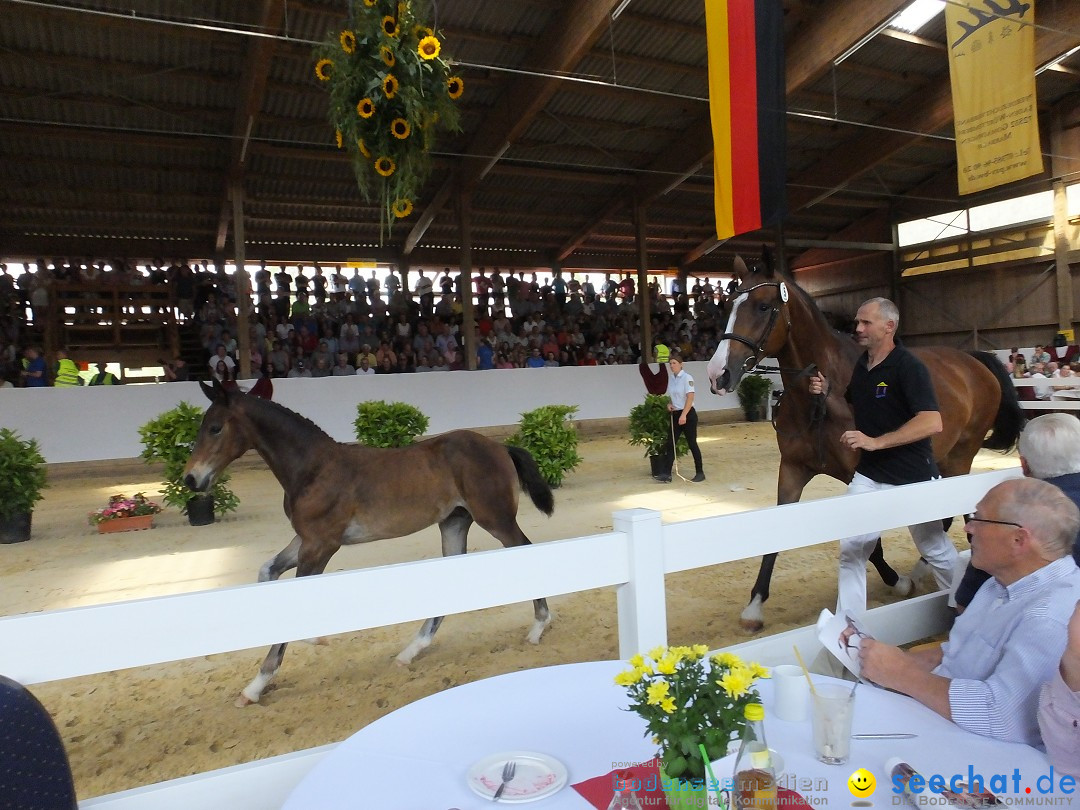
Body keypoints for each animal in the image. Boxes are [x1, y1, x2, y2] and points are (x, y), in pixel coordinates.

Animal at [181, 380, 552, 704]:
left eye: (215, 428)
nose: (191, 479)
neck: (314, 468)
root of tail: (499, 446)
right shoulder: (306, 539)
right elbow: (266, 571)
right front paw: (254, 687)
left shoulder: (322, 544)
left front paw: (308, 645)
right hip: (454, 523)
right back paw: (410, 652)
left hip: (496, 519)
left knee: (526, 550)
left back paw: (538, 627)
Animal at [708, 254, 1019, 635]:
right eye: (728, 306)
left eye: (763, 306)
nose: (717, 374)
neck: (822, 396)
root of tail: (974, 360)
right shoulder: (793, 469)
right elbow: (778, 534)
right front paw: (754, 606)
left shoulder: (858, 473)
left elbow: (870, 546)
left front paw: (897, 581)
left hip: (960, 458)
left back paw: (920, 572)